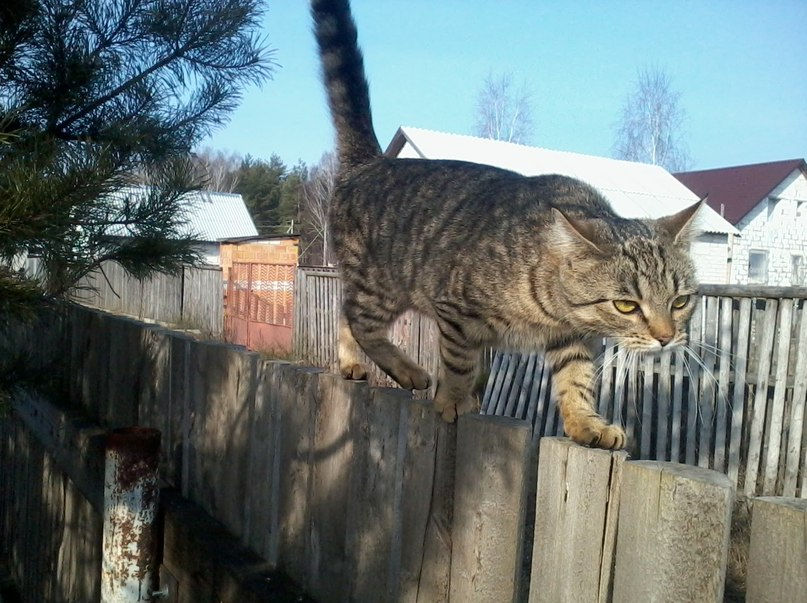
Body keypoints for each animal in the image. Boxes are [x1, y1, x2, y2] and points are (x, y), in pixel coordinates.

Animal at [311, 0, 699, 449]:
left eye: (680, 301)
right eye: (626, 305)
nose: (666, 336)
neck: (557, 309)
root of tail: (371, 162)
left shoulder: (572, 340)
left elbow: (576, 380)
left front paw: (586, 423)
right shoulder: (456, 311)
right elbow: (459, 365)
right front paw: (454, 400)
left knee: (346, 318)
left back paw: (351, 365)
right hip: (381, 286)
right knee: (356, 320)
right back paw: (406, 369)